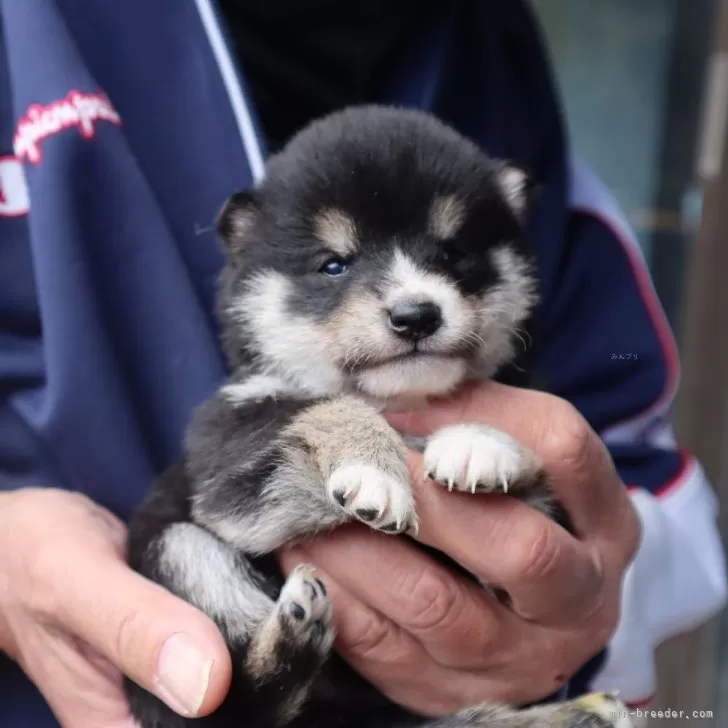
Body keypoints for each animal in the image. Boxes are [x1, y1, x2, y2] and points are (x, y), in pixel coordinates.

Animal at [125, 104, 632, 728]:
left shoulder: (548, 516)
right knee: (237, 702)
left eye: (453, 252)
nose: (415, 315)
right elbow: (328, 405)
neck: (404, 401)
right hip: (179, 553)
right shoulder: (231, 460)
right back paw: (296, 634)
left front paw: (478, 446)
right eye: (333, 265)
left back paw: (579, 711)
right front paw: (375, 473)